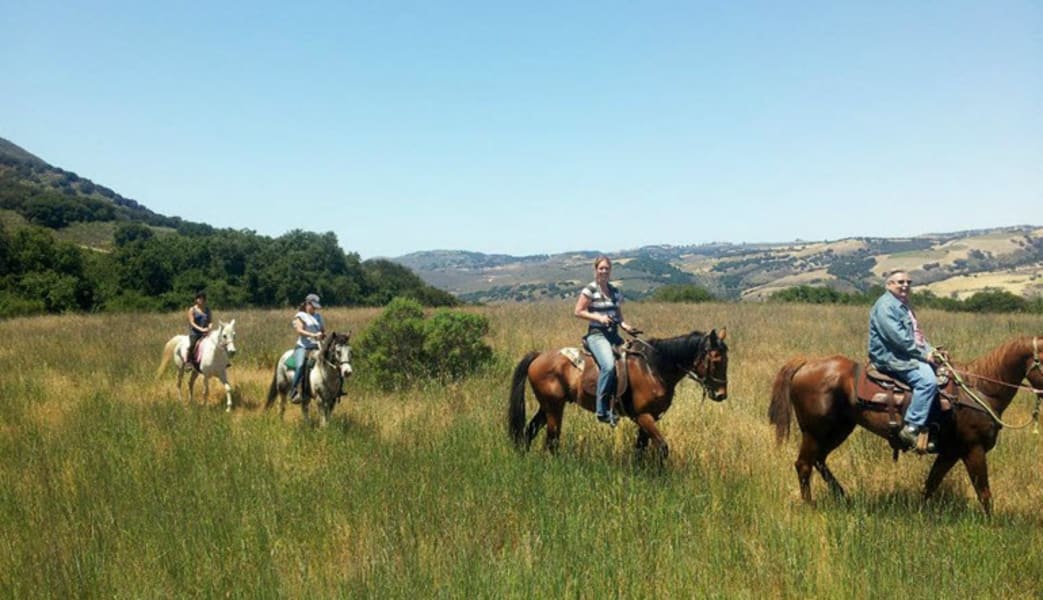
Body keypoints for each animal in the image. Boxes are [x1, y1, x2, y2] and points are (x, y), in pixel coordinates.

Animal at [508, 329, 730, 459]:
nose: (721, 394)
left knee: (530, 431)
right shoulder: (643, 416)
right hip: (554, 407)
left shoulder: (650, 417)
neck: (654, 367)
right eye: (716, 360)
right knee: (552, 440)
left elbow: (641, 448)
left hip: (547, 406)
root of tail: (539, 356)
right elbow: (662, 447)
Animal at [767, 336, 1043, 513]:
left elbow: (931, 484)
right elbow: (984, 493)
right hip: (815, 432)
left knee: (819, 461)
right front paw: (991, 525)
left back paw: (843, 497)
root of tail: (806, 363)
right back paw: (810, 506)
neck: (981, 389)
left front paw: (920, 512)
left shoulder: (951, 452)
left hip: (838, 430)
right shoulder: (972, 449)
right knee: (804, 464)